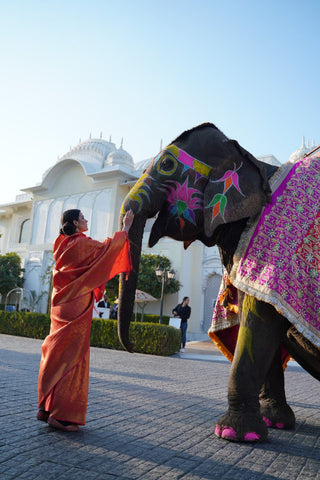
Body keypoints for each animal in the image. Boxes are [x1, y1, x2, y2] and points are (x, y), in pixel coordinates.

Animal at [117, 123, 320, 442]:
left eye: (166, 164)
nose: (136, 344)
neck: (254, 162)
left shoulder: (274, 253)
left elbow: (258, 319)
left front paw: (234, 434)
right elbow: (262, 323)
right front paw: (274, 421)